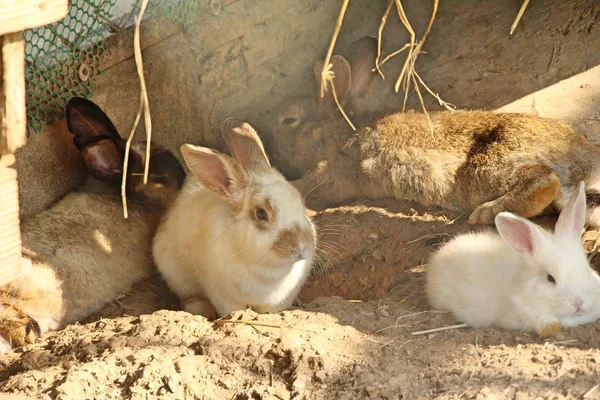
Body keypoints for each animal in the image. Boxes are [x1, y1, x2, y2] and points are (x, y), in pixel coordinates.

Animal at [152, 118, 316, 318]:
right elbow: (232, 309)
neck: (267, 270)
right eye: (261, 213)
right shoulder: (222, 295)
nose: (302, 246)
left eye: (301, 201)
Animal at [270, 36, 600, 228]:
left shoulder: (333, 173)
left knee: (544, 180)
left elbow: (307, 187)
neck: (332, 133)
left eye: (289, 120)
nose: (273, 148)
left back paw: (488, 213)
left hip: (487, 168)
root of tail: (583, 161)